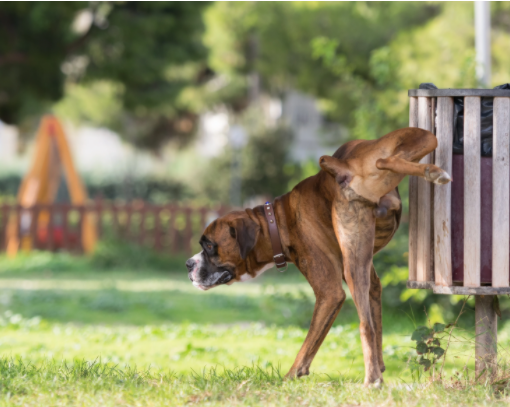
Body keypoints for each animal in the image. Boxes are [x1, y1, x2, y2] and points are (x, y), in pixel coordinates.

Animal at [187, 126, 450, 386]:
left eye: (209, 245)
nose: (189, 263)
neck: (277, 221)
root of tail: (343, 166)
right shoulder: (371, 282)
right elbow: (376, 323)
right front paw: (380, 366)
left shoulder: (329, 293)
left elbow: (308, 345)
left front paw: (289, 377)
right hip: (420, 141)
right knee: (388, 160)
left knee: (364, 326)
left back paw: (370, 380)